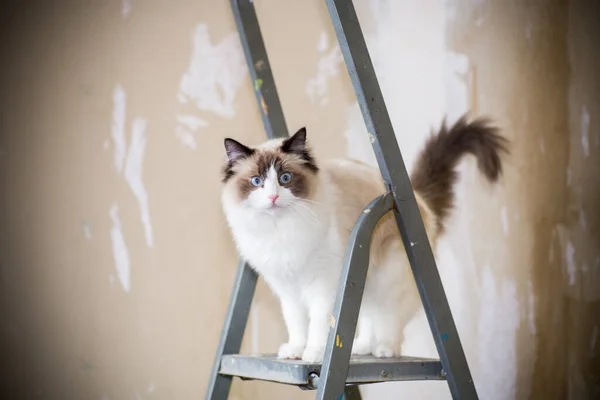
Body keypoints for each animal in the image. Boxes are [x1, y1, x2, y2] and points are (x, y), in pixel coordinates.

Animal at [218, 115, 508, 362]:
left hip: (387, 278)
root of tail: (416, 198)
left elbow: (318, 323)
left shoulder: (322, 285)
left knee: (389, 320)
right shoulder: (287, 288)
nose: (273, 197)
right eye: (256, 181)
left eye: (285, 178)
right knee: (369, 318)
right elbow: (297, 323)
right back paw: (362, 348)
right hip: (364, 281)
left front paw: (314, 354)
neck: (280, 230)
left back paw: (384, 350)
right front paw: (296, 351)